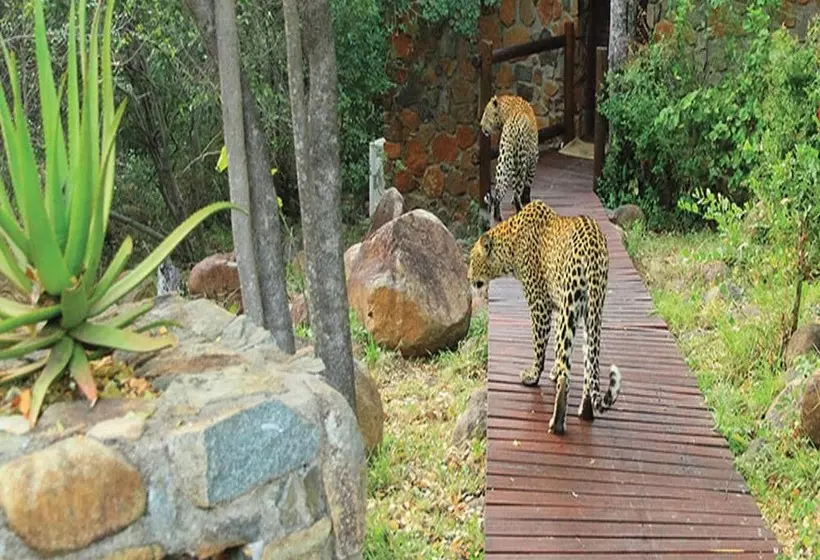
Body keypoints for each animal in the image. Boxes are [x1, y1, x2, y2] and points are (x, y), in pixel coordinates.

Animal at [467, 199, 622, 435]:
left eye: (471, 260)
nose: (468, 278)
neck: (510, 247)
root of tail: (594, 248)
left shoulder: (540, 305)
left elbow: (539, 346)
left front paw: (533, 375)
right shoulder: (558, 306)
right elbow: (557, 345)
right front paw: (553, 370)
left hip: (572, 302)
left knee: (568, 373)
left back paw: (557, 423)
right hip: (592, 310)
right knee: (589, 361)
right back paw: (585, 411)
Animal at [479, 94, 539, 224]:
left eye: (486, 113)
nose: (480, 126)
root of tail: (513, 128)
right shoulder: (533, 160)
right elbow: (528, 184)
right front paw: (526, 199)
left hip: (503, 161)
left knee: (498, 192)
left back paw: (497, 216)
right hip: (520, 162)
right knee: (517, 191)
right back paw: (520, 209)